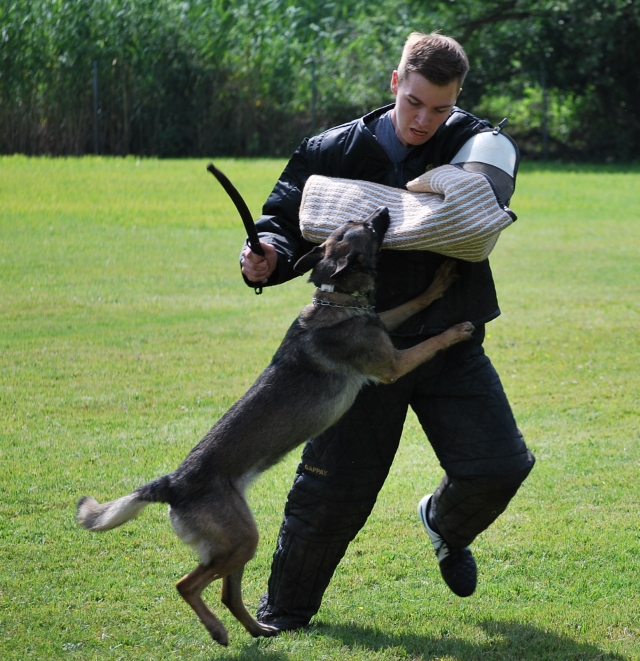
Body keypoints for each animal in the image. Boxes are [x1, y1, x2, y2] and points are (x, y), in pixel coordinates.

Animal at [76, 204, 474, 646]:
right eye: (368, 227)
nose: (385, 209)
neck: (337, 298)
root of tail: (171, 484)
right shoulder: (392, 364)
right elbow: (430, 342)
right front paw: (458, 330)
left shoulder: (383, 326)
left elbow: (409, 304)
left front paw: (438, 284)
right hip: (240, 541)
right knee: (187, 585)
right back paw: (217, 630)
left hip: (239, 541)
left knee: (227, 594)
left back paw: (258, 629)